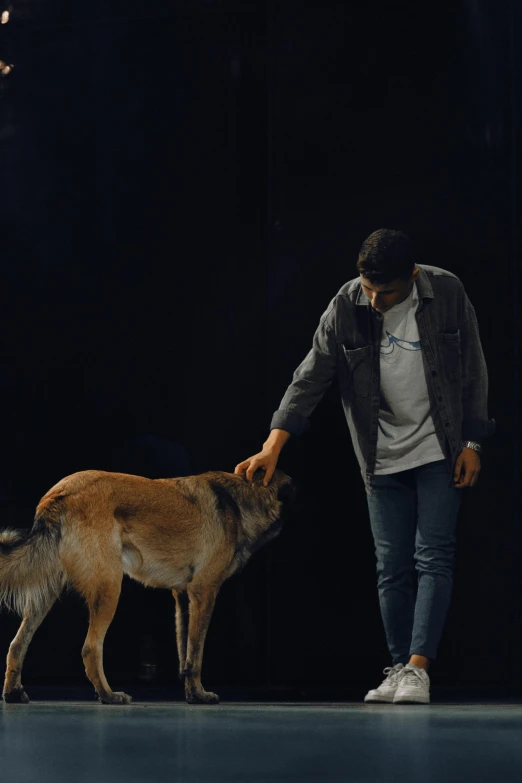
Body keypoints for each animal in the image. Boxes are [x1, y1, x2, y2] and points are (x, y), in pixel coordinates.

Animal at [0, 468, 292, 708]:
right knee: (90, 649)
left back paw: (13, 693)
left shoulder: (183, 596)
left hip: (45, 598)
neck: (243, 498)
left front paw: (191, 694)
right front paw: (200, 694)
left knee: (17, 644)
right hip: (109, 588)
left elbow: (185, 653)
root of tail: (59, 494)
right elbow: (196, 653)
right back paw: (109, 695)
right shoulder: (204, 592)